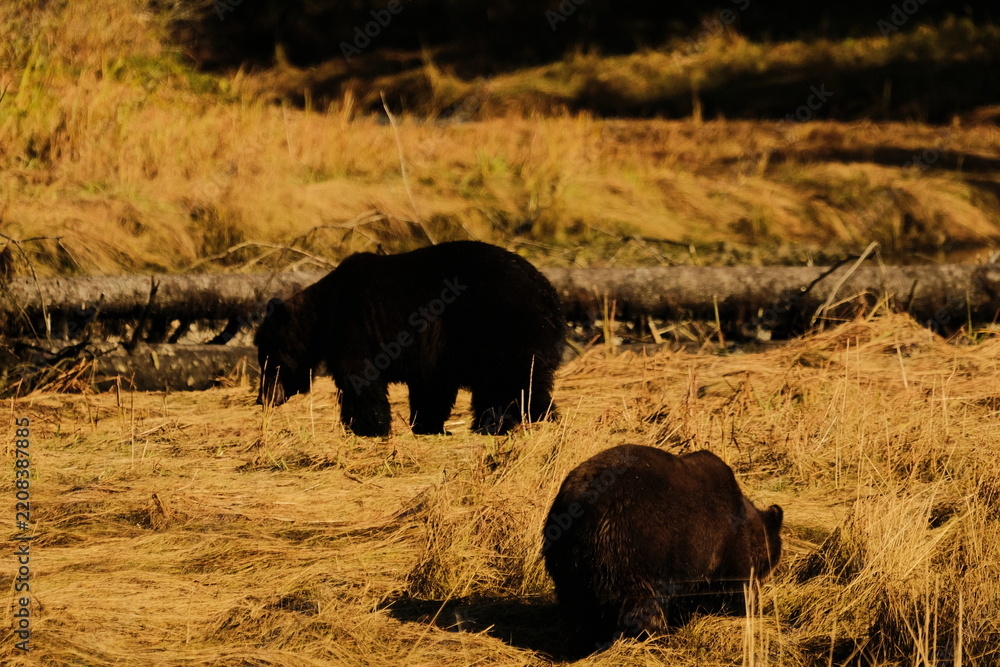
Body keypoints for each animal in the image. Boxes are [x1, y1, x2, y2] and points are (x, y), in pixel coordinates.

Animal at [255, 240, 566, 437]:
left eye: (267, 359)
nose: (262, 398)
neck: (322, 313)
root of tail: (549, 294)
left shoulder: (355, 325)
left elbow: (359, 377)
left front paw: (367, 427)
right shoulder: (435, 350)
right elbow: (432, 386)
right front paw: (428, 425)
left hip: (499, 326)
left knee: (515, 381)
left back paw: (524, 419)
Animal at [542, 444, 783, 656]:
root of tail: (580, 508)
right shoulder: (722, 549)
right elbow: (733, 589)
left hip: (566, 559)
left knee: (578, 608)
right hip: (632, 548)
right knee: (641, 603)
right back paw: (654, 639)